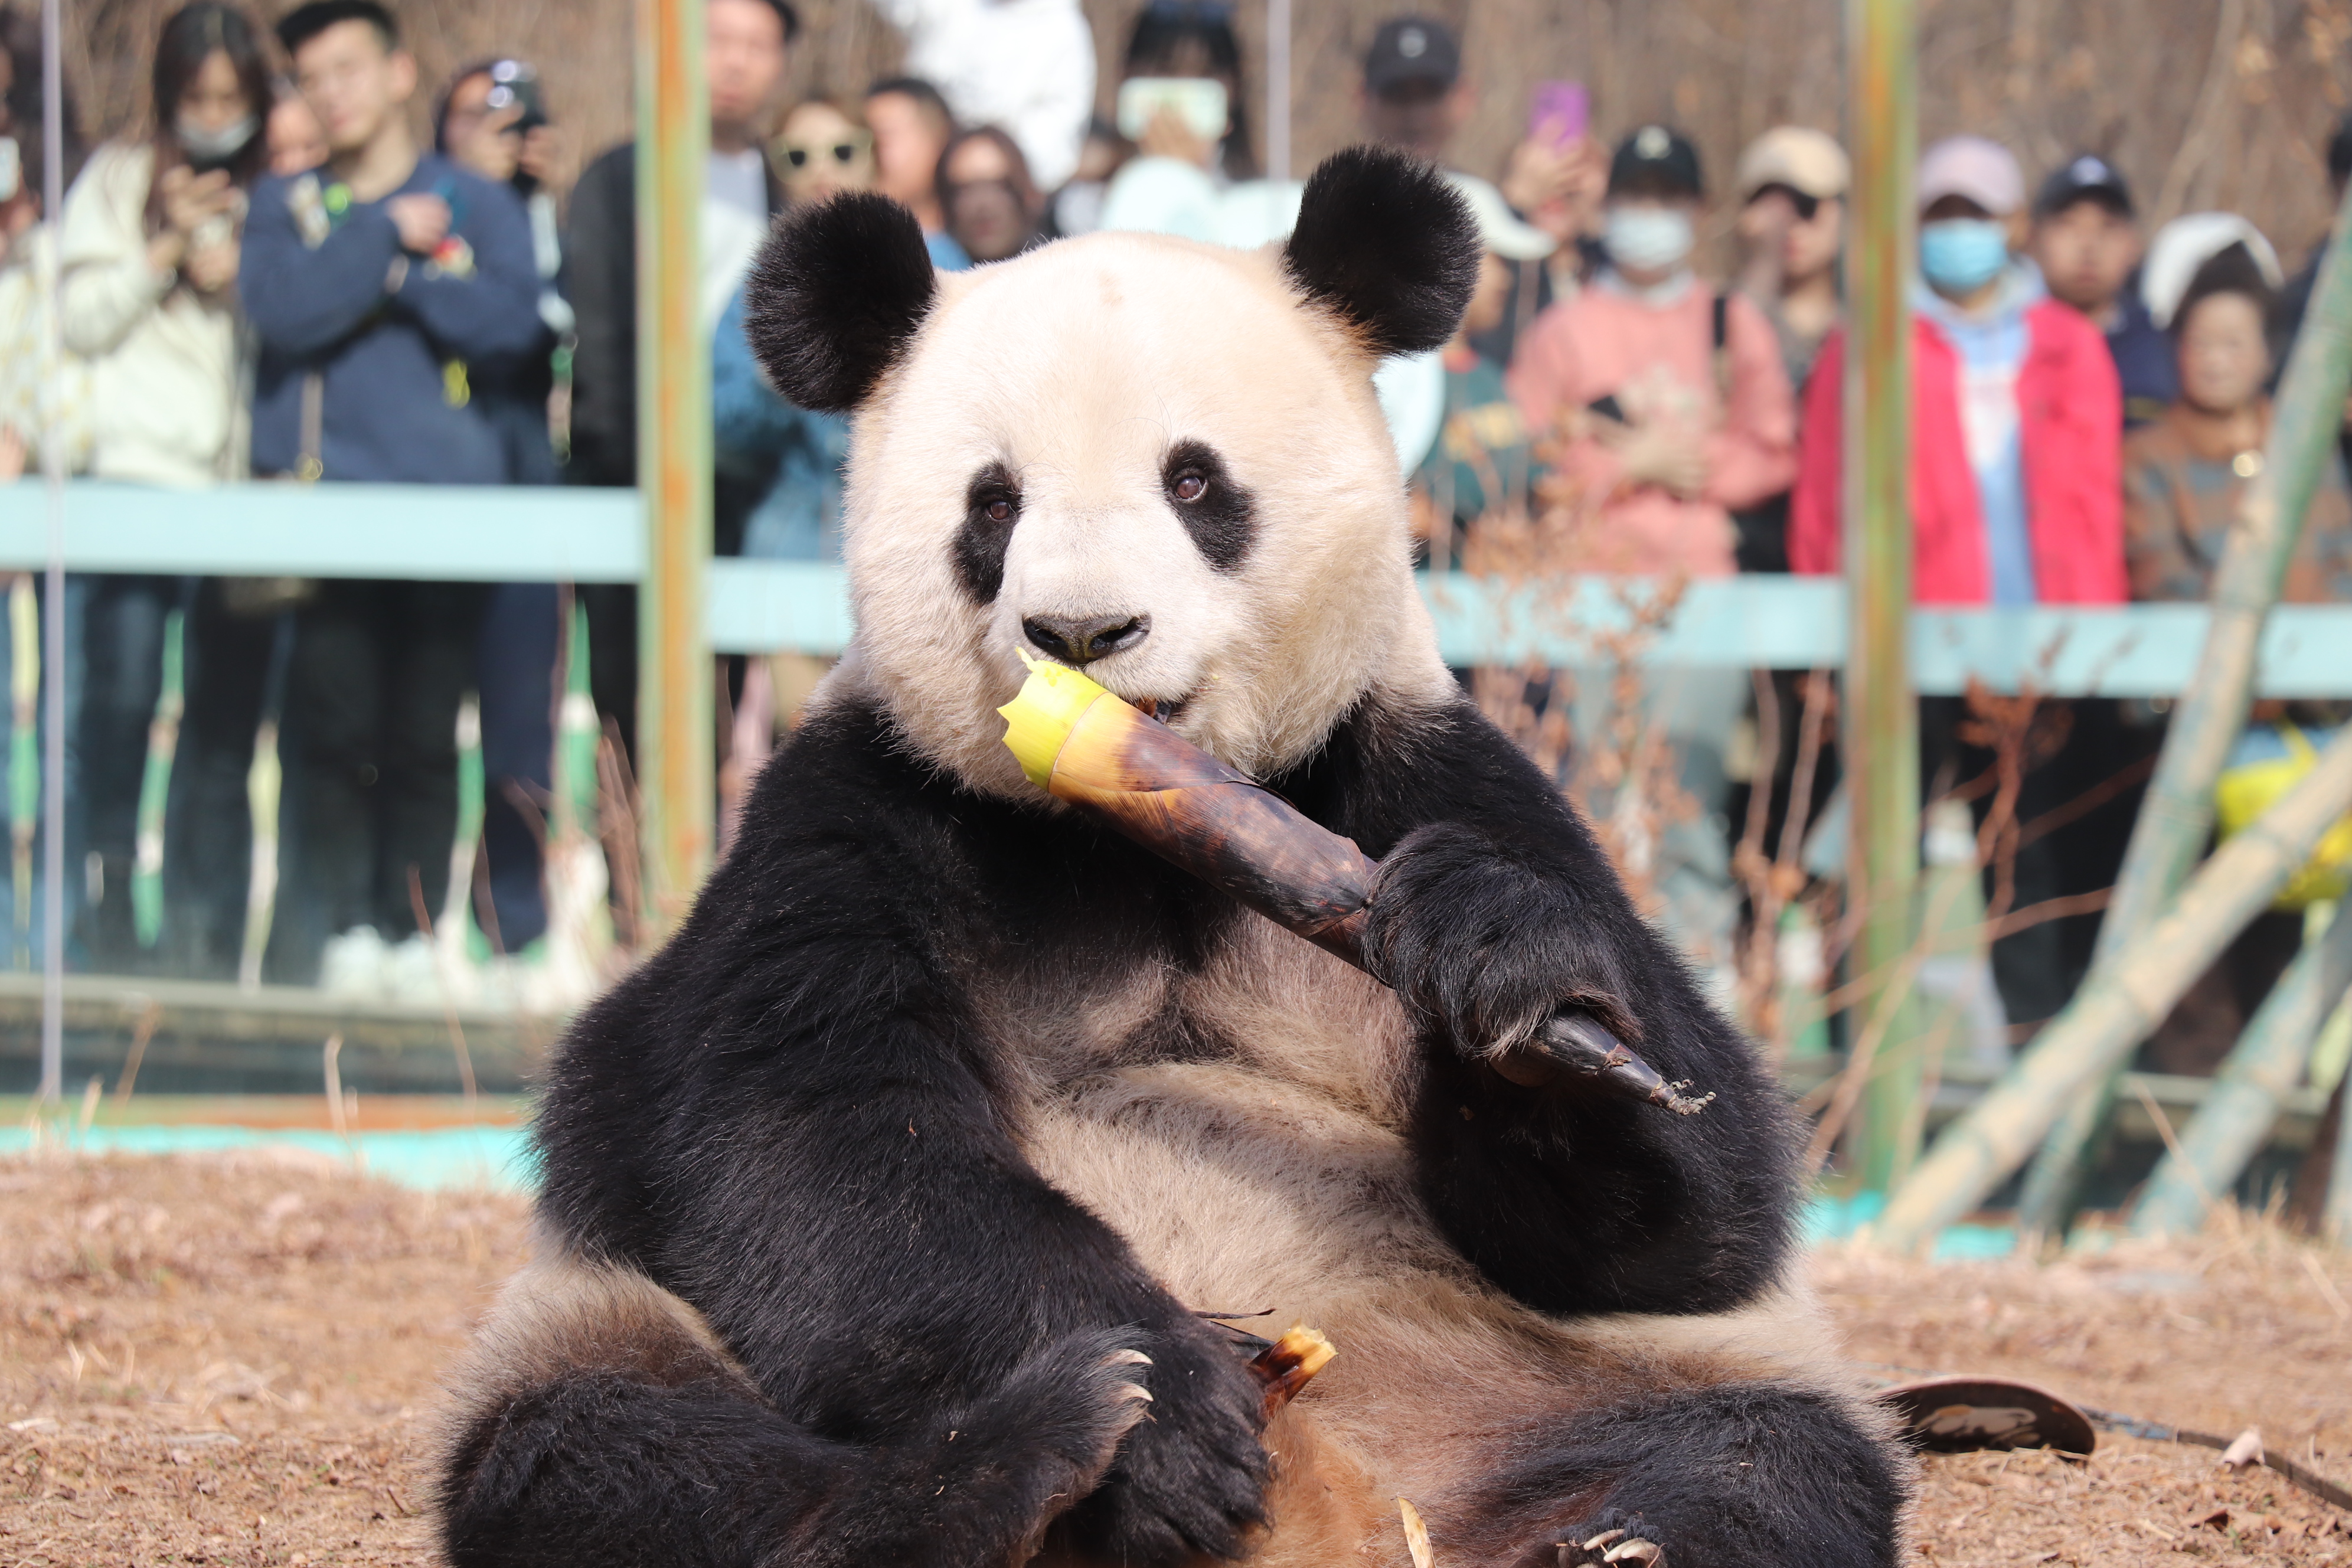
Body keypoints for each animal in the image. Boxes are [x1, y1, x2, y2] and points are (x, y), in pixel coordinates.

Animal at [437, 150, 1910, 1568]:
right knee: (605, 1446)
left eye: (1194, 482)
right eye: (993, 504)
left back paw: (1618, 1538)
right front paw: (1165, 1419)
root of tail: (1346, 1497)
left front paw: (1515, 982)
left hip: (1571, 1374)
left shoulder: (1407, 766)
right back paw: (1001, 1471)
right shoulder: (862, 811)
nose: (1082, 633)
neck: (1142, 825)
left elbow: (1697, 1199)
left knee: (1766, 1454)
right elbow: (813, 1143)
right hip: (614, 1327)